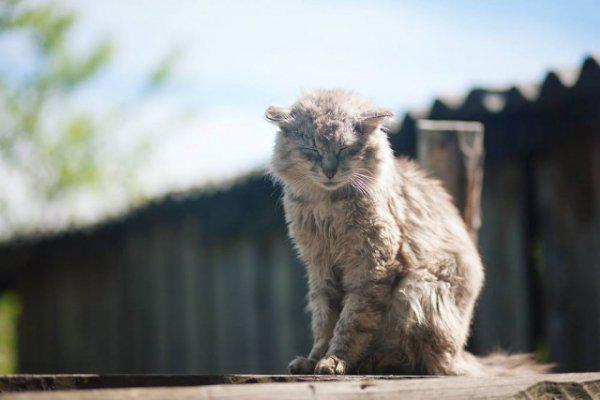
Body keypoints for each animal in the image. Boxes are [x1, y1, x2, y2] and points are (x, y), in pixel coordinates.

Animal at [264, 88, 552, 376]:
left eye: (344, 148)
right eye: (312, 149)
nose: (329, 171)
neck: (329, 207)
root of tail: (462, 354)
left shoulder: (372, 265)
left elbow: (351, 322)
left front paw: (335, 360)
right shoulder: (321, 269)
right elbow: (324, 323)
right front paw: (313, 360)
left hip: (417, 289)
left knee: (425, 361)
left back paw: (374, 361)